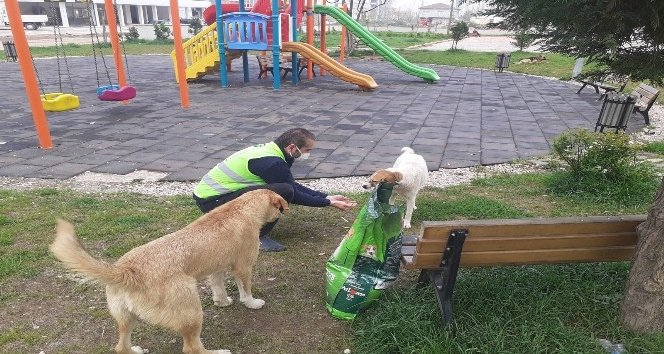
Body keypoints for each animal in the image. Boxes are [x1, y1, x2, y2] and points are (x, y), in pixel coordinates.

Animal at [50, 189, 290, 352]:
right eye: (279, 208)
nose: (281, 214)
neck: (242, 209)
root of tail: (126, 270)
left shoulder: (216, 269)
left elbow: (218, 288)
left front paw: (222, 302)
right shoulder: (243, 267)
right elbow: (245, 292)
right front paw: (252, 303)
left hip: (126, 319)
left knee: (121, 347)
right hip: (192, 311)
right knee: (191, 347)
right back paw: (218, 352)